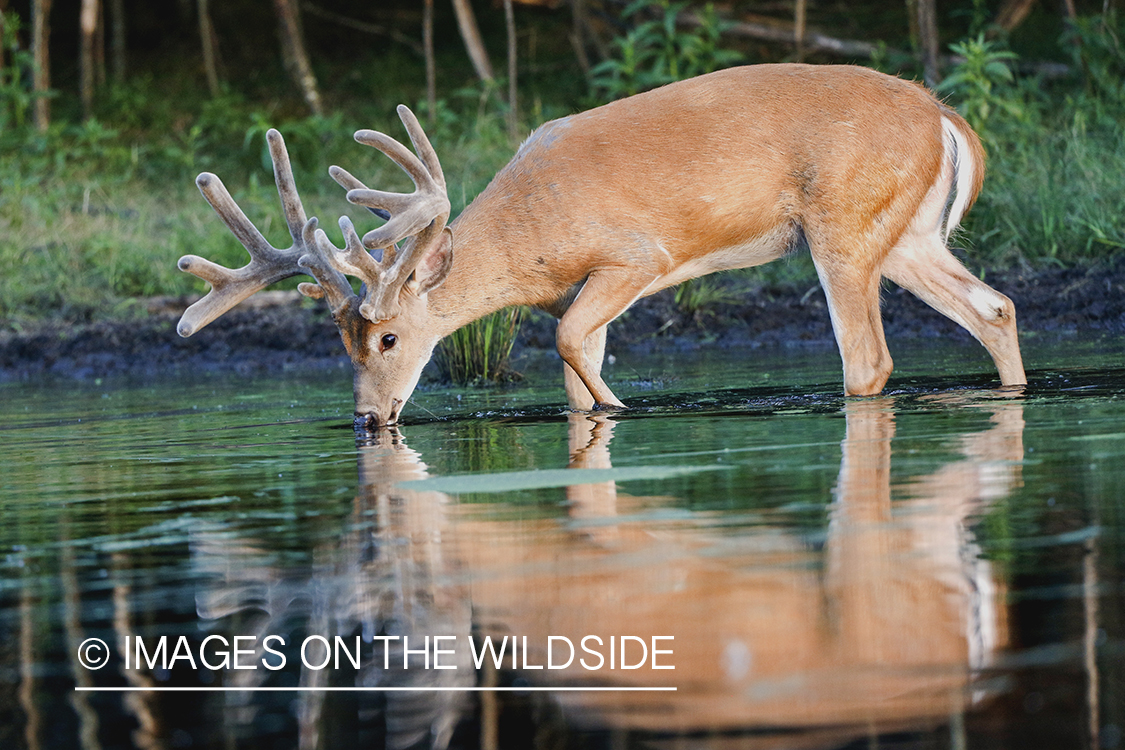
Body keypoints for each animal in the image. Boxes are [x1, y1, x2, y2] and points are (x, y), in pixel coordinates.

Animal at [175, 61, 1030, 425]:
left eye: (388, 337)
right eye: (339, 345)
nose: (368, 418)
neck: (529, 238)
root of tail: (944, 118)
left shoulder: (633, 257)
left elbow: (568, 349)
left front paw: (622, 410)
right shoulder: (579, 291)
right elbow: (571, 372)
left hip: (842, 222)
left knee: (869, 359)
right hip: (905, 233)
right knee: (994, 305)